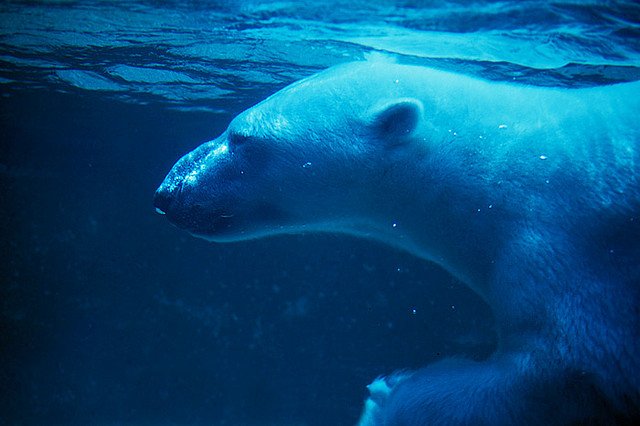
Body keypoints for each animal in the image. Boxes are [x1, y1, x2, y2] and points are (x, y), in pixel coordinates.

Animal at [155, 60, 640, 426]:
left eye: (242, 138)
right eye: (231, 128)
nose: (168, 192)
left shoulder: (560, 249)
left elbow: (567, 367)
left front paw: (385, 397)